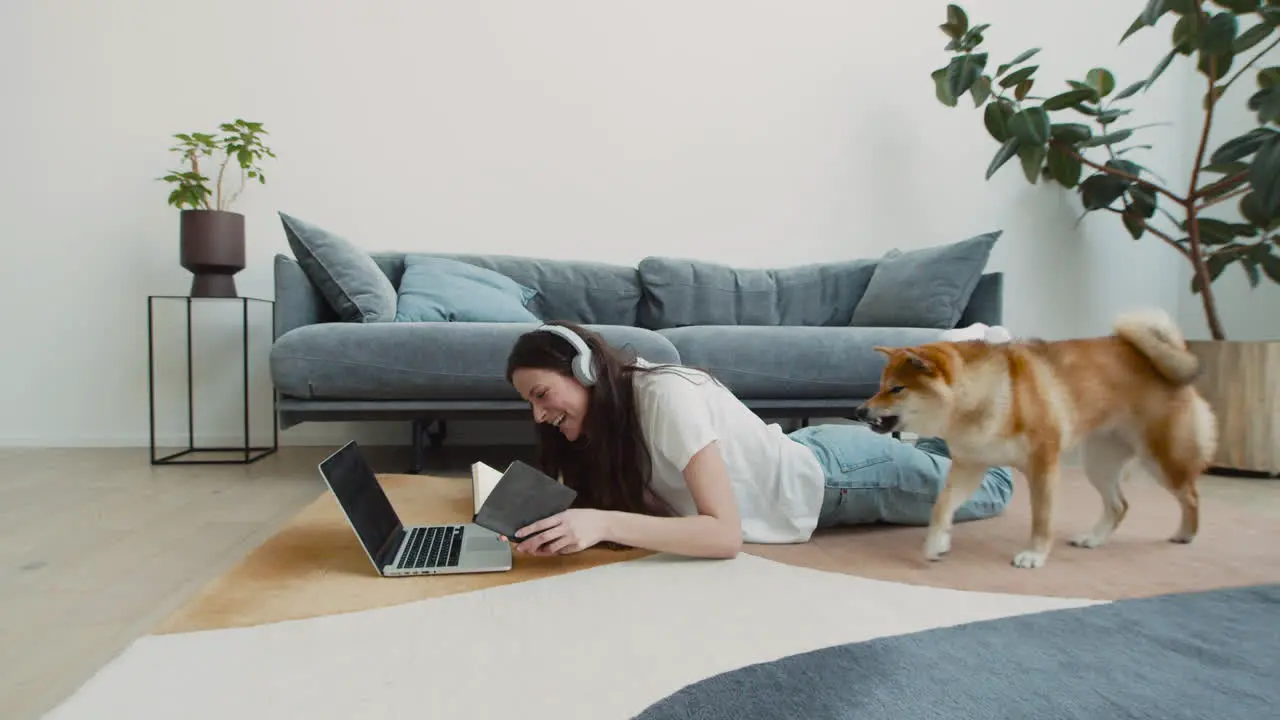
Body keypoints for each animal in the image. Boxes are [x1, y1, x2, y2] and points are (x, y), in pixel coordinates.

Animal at [855, 308, 1213, 566]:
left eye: (896, 389)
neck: (990, 398)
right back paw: (1093, 539)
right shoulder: (971, 465)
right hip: (1099, 462)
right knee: (1120, 505)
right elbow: (942, 506)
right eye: (880, 386)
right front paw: (936, 543)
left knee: (1191, 495)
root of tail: (1169, 357)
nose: (859, 410)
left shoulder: (1043, 465)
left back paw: (1185, 534)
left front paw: (1034, 555)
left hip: (1162, 459)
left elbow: (1042, 519)